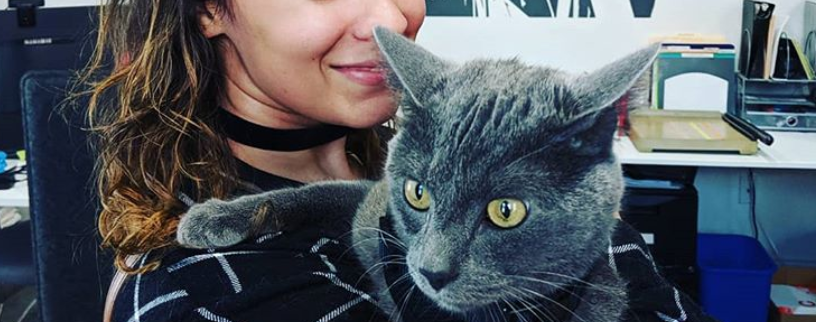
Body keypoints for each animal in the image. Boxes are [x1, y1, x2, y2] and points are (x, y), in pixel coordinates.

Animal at [175, 27, 660, 322]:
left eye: (506, 211)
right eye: (417, 193)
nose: (432, 271)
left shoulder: (602, 294)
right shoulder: (371, 206)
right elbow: (317, 190)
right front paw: (213, 217)